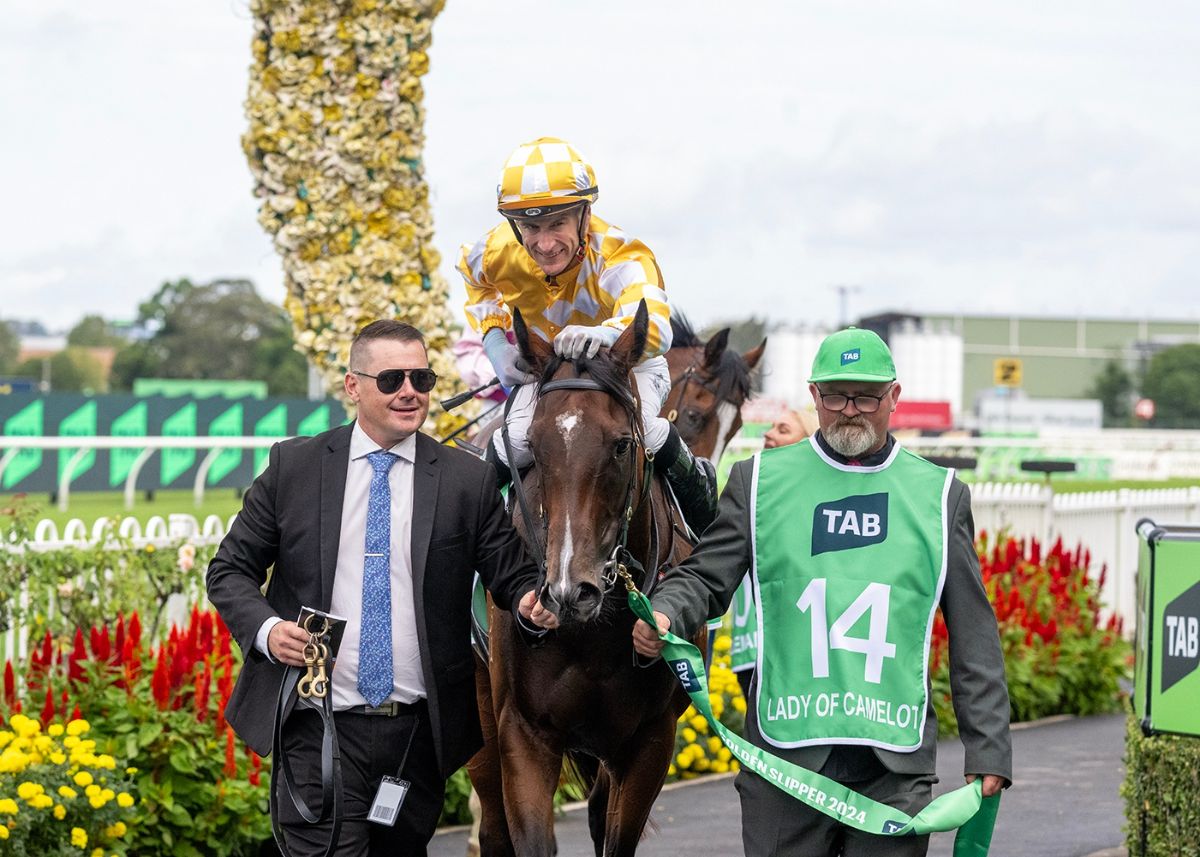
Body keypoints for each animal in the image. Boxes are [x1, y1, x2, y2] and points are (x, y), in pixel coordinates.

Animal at [468, 302, 699, 857]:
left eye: (620, 446)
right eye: (533, 446)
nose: (568, 592)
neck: (592, 637)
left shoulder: (650, 740)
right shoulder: (523, 732)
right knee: (493, 828)